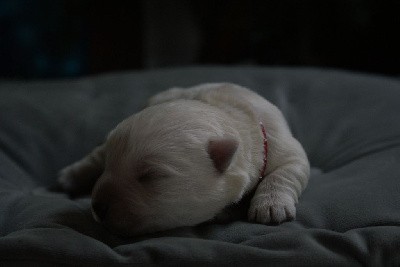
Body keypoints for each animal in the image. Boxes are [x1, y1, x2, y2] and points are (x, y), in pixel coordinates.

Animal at [58, 83, 310, 237]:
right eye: (109, 166)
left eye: (149, 176)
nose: (97, 206)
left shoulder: (279, 141)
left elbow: (289, 168)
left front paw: (271, 206)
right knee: (95, 155)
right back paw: (69, 176)